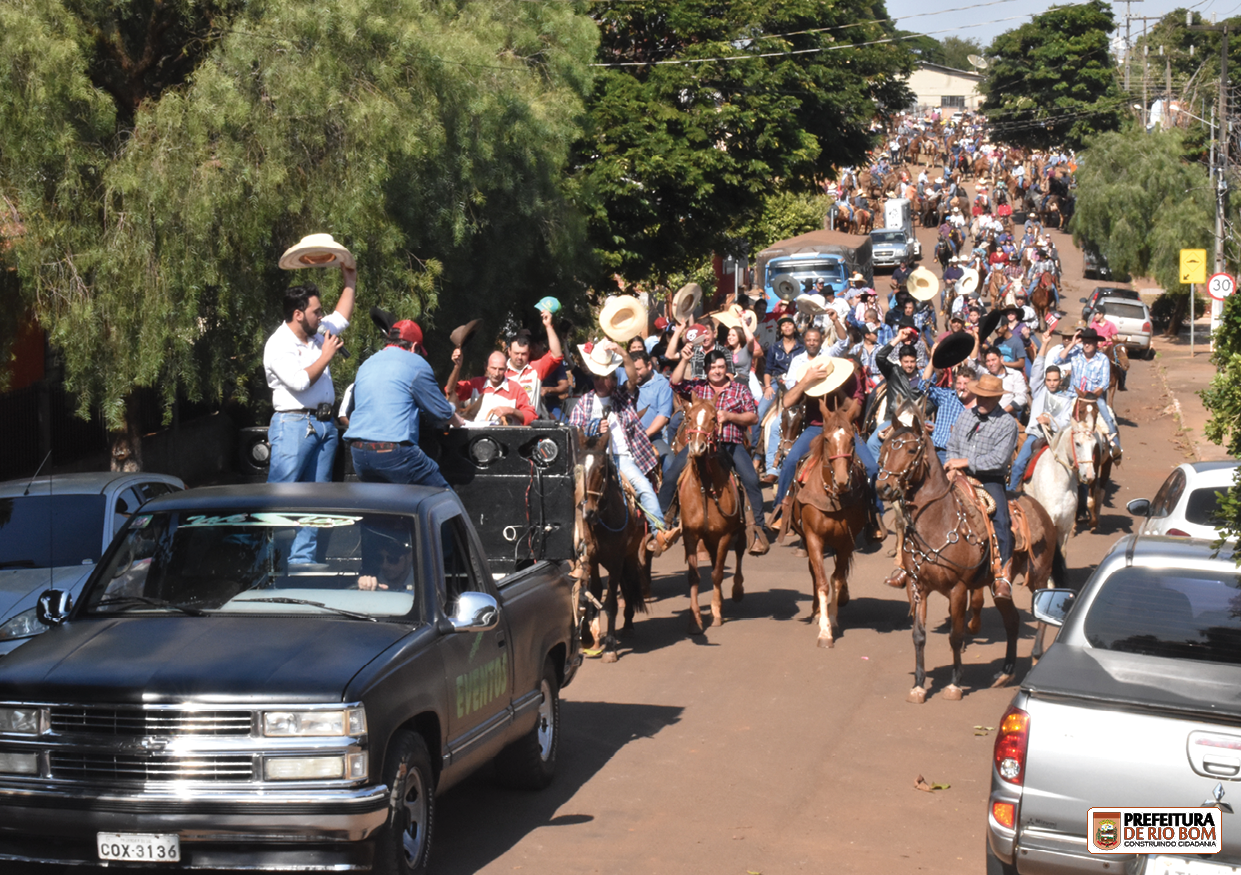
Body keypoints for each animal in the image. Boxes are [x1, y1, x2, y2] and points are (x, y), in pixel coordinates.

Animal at [570, 429, 650, 660]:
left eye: (601, 469)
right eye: (577, 469)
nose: (587, 511)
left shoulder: (615, 560)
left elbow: (611, 602)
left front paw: (610, 646)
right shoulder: (588, 558)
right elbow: (588, 596)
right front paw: (588, 638)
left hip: (630, 554)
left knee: (628, 582)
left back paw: (628, 624)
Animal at [675, 397, 739, 635]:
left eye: (713, 418)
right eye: (689, 417)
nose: (697, 447)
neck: (704, 485)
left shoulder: (725, 536)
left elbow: (718, 573)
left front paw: (717, 612)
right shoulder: (691, 536)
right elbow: (695, 576)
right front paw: (694, 621)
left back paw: (736, 590)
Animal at [789, 399, 868, 645]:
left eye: (852, 440)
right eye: (826, 439)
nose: (842, 481)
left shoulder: (847, 542)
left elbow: (837, 579)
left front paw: (832, 619)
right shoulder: (814, 538)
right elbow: (822, 581)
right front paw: (824, 631)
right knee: (815, 573)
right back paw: (816, 611)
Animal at [873, 397, 1067, 704]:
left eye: (912, 449)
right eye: (884, 448)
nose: (883, 487)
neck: (938, 520)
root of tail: (1042, 512)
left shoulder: (958, 588)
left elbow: (956, 635)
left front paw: (954, 684)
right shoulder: (918, 586)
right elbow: (918, 635)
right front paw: (918, 685)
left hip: (1037, 575)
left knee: (1040, 612)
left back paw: (1035, 657)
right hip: (1001, 586)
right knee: (1012, 621)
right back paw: (1005, 672)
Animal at [1067, 397, 1116, 531]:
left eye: (1096, 411)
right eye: (1081, 410)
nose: (1088, 430)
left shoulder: (1092, 470)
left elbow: (1090, 499)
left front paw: (1092, 521)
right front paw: (1073, 525)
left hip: (1107, 464)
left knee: (1100, 491)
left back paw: (1095, 521)